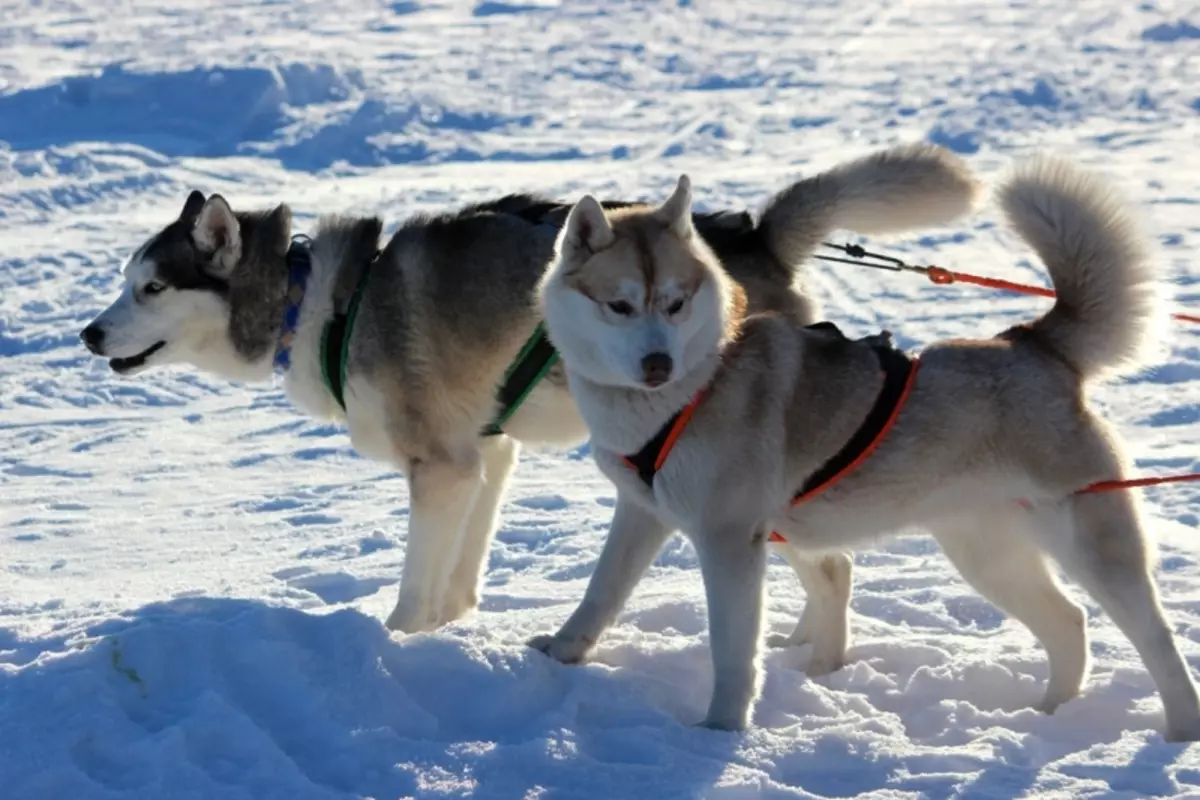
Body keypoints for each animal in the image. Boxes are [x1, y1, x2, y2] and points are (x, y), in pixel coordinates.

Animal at [82, 143, 984, 638]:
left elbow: (414, 589)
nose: (87, 334)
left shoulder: (441, 469)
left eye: (151, 288)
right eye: (126, 282)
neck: (317, 304)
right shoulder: (486, 455)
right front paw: (451, 632)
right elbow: (457, 578)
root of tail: (750, 236)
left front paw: (397, 642)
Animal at [535, 158, 1200, 743]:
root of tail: (1032, 343)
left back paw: (1177, 731)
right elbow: (601, 591)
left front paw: (721, 728)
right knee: (1069, 624)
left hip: (1091, 544)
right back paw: (1048, 715)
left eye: (675, 303)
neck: (693, 389)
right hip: (985, 555)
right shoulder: (642, 514)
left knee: (1158, 640)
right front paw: (561, 652)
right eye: (619, 305)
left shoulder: (728, 540)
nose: (658, 364)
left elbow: (733, 651)